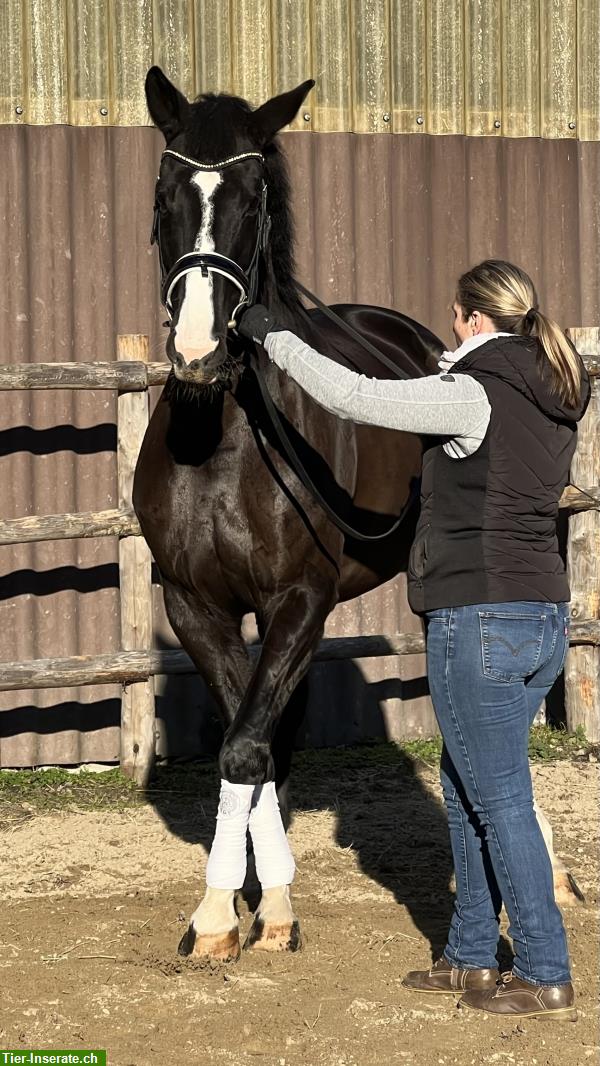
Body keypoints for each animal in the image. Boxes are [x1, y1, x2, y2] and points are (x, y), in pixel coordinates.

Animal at [136, 70, 445, 963]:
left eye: (253, 200)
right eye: (165, 194)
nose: (198, 352)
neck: (223, 437)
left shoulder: (296, 601)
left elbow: (246, 746)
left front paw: (229, 913)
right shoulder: (196, 606)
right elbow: (250, 745)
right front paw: (244, 910)